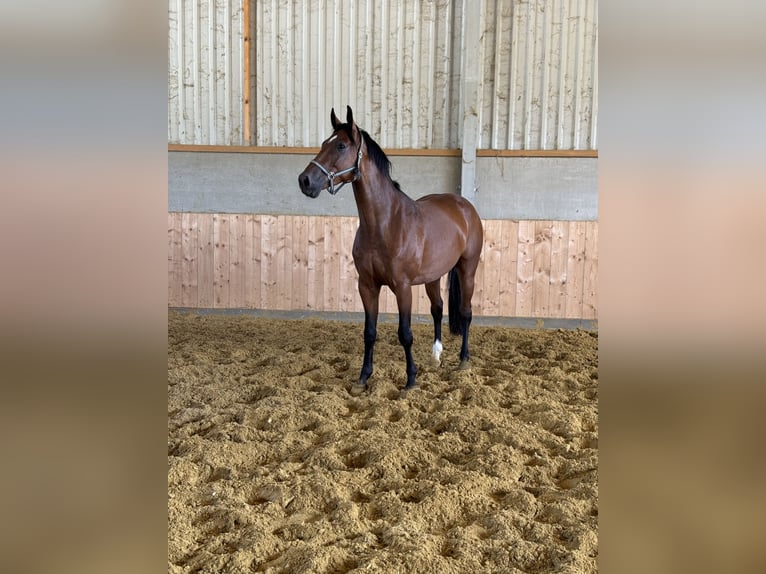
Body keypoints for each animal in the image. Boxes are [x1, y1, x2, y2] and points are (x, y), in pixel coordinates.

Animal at [302, 107, 486, 396]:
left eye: (341, 145)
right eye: (323, 144)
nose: (305, 180)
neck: (385, 223)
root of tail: (464, 206)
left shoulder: (402, 287)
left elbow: (405, 334)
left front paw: (410, 380)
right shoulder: (367, 286)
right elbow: (369, 332)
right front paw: (362, 378)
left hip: (468, 269)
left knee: (466, 313)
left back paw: (463, 360)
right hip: (433, 276)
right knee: (437, 308)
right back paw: (436, 355)